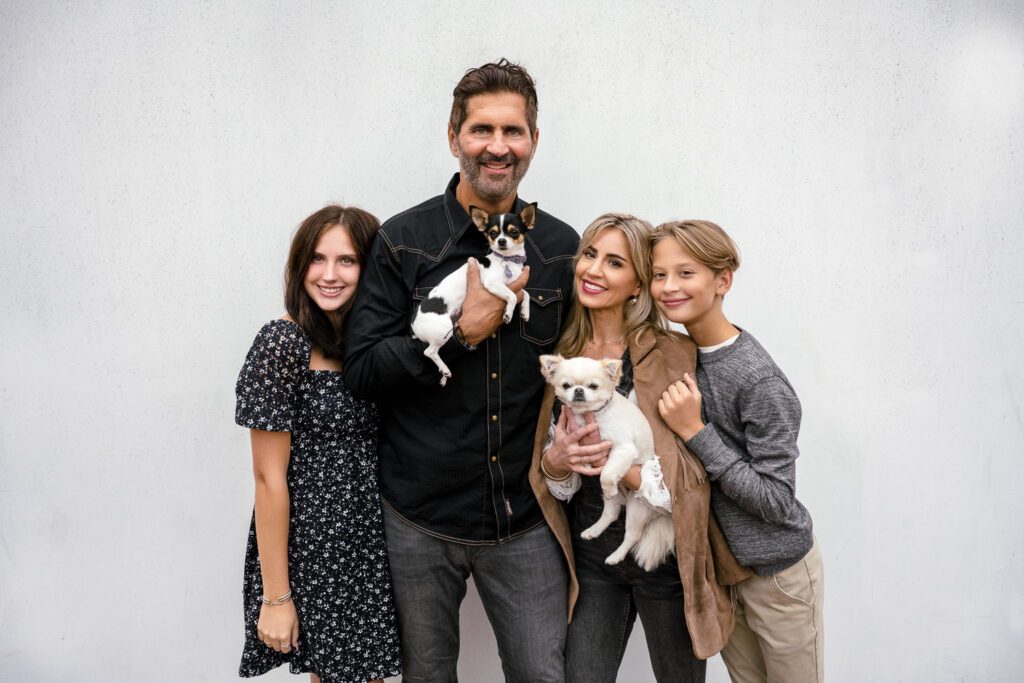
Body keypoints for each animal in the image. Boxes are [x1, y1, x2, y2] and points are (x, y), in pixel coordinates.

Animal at [409, 201, 536, 385]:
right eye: (492, 233)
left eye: (514, 232)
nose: (501, 240)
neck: (507, 260)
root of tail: (413, 326)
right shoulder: (492, 284)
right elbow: (512, 296)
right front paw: (508, 314)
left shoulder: (513, 284)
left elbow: (525, 293)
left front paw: (525, 312)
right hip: (444, 330)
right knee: (429, 351)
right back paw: (445, 369)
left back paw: (443, 376)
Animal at [540, 356, 675, 569]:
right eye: (566, 385)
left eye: (593, 386)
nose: (578, 391)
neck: (591, 416)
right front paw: (586, 465)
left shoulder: (622, 449)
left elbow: (607, 473)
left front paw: (604, 476)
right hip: (618, 503)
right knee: (611, 513)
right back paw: (593, 531)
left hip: (637, 508)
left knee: (632, 535)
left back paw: (615, 556)